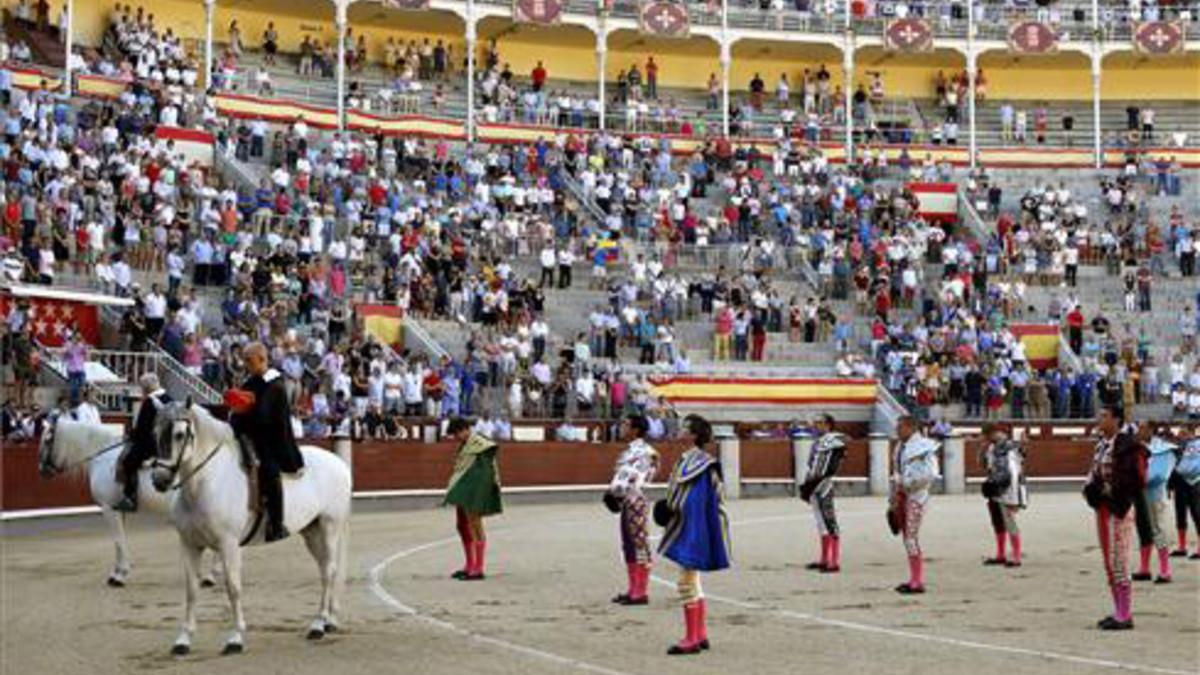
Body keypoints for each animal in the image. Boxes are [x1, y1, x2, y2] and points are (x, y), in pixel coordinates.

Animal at [36, 410, 220, 583]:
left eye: (46, 440)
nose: (42, 470)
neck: (103, 457)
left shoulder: (108, 509)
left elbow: (118, 540)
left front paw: (119, 576)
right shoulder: (119, 509)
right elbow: (121, 541)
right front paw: (117, 572)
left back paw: (211, 576)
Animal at [150, 398, 350, 653]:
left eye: (179, 434)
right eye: (155, 433)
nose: (159, 480)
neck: (204, 484)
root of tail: (339, 462)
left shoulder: (229, 544)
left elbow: (233, 588)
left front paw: (235, 638)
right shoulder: (189, 544)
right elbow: (192, 589)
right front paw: (183, 639)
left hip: (329, 527)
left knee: (330, 570)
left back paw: (318, 625)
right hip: (311, 531)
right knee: (325, 569)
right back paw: (326, 622)